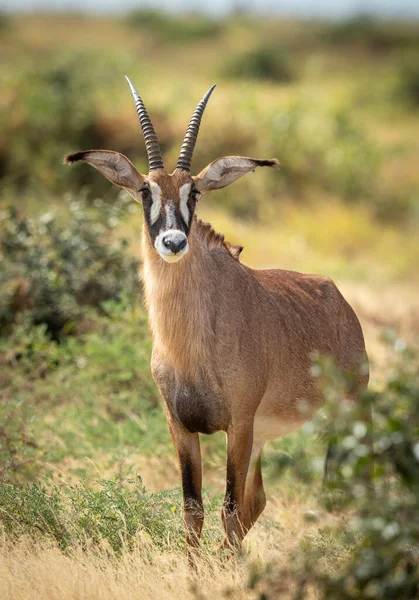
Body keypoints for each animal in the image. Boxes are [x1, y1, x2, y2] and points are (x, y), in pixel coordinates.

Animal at [64, 78, 370, 556]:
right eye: (146, 191)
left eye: (194, 192)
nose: (173, 242)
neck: (190, 346)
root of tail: (339, 299)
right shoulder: (181, 426)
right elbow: (195, 509)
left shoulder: (238, 425)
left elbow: (227, 509)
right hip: (265, 436)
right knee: (257, 501)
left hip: (348, 416)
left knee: (349, 490)